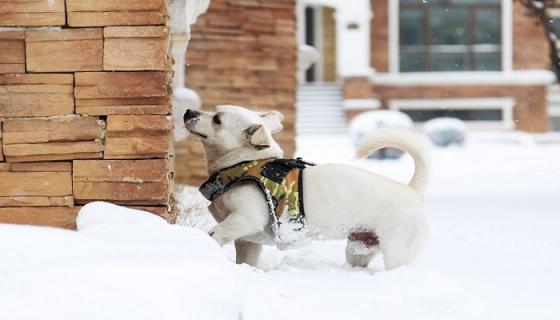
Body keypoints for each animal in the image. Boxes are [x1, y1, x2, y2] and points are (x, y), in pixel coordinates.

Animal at [184, 105, 428, 270]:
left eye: (217, 119)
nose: (188, 111)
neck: (244, 163)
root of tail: (411, 190)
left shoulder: (246, 219)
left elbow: (215, 233)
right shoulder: (247, 241)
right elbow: (245, 259)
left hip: (395, 251)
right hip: (358, 249)